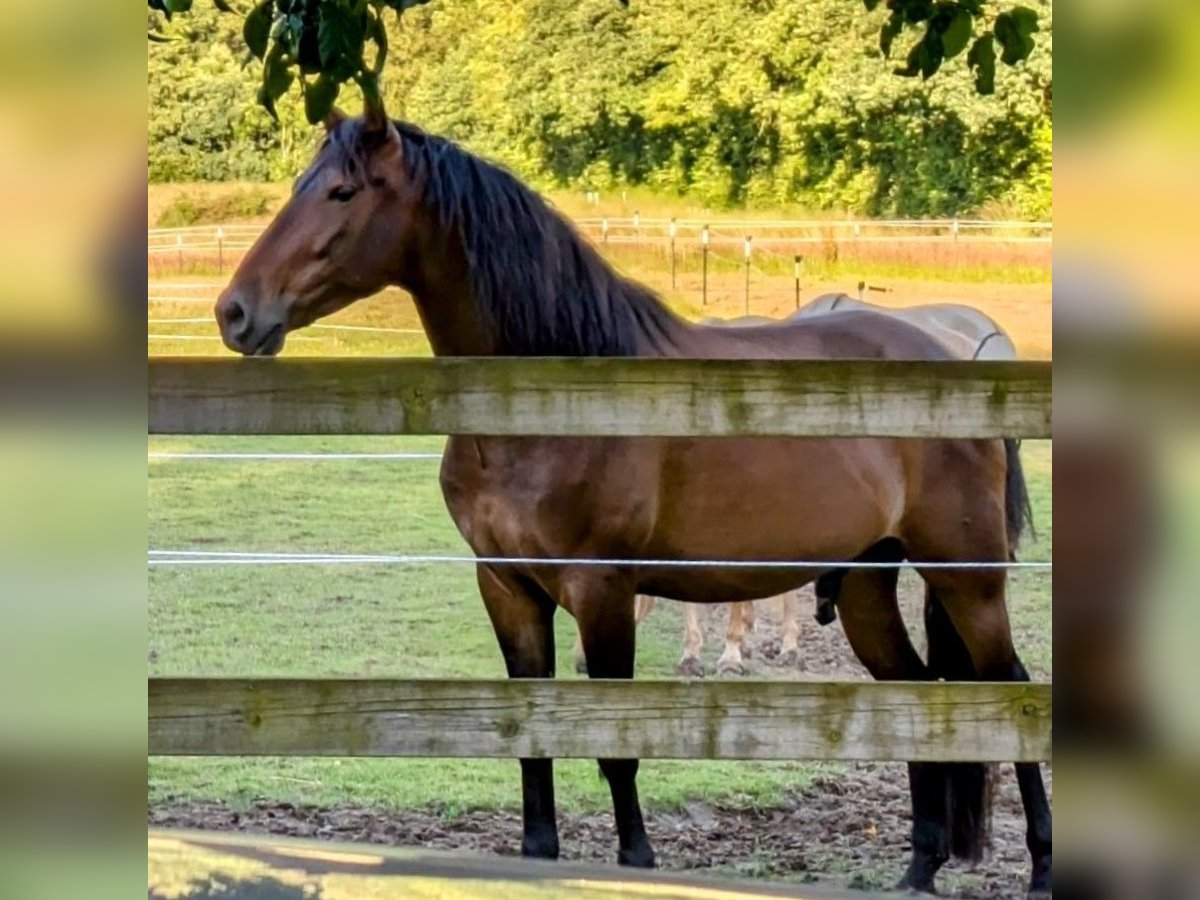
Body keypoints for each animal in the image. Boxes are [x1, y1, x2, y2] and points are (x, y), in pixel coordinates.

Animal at [213, 107, 1051, 897]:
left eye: (342, 191)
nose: (236, 312)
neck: (549, 403)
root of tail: (958, 354)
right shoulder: (506, 587)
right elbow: (532, 737)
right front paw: (538, 857)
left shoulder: (602, 590)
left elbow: (617, 746)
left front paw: (637, 861)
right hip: (868, 586)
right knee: (921, 694)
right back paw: (920, 869)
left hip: (967, 578)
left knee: (1010, 692)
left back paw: (1039, 866)